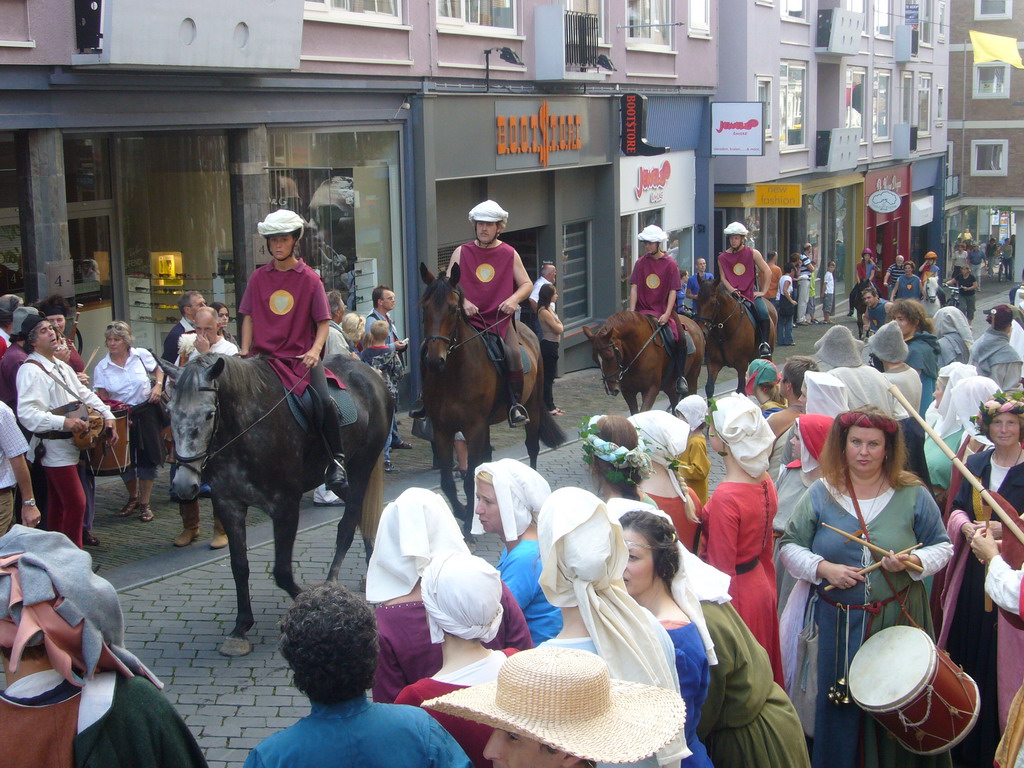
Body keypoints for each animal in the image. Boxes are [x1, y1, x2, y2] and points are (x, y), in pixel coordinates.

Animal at [413, 264, 565, 528]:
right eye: (425, 307)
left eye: (453, 309)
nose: (433, 360)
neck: (452, 375)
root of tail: (527, 330)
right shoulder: (443, 430)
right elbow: (448, 482)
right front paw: (462, 511)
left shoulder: (473, 427)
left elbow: (468, 481)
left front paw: (467, 528)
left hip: (533, 407)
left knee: (532, 447)